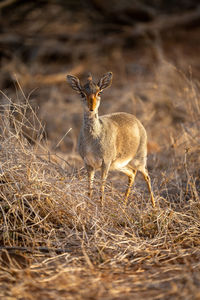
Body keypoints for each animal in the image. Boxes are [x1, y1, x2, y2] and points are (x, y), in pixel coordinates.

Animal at [66, 72, 155, 206]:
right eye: (82, 93)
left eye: (99, 92)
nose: (91, 107)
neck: (92, 140)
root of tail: (137, 121)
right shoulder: (88, 163)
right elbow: (89, 187)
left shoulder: (105, 163)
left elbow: (102, 187)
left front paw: (101, 206)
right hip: (119, 164)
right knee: (132, 173)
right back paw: (123, 205)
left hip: (139, 159)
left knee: (146, 176)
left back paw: (154, 207)